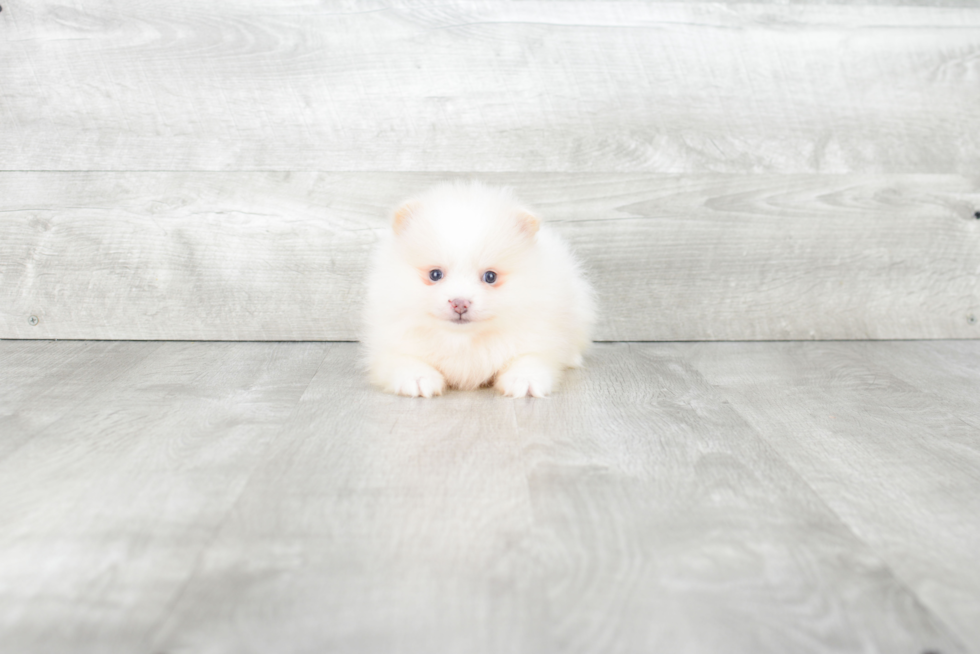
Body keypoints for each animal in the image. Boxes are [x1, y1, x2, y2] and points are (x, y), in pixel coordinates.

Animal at [364, 178, 592, 400]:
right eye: (435, 274)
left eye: (490, 277)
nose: (460, 303)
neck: (462, 341)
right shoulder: (392, 343)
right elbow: (403, 359)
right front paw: (417, 378)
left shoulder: (539, 336)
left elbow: (529, 358)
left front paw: (524, 380)